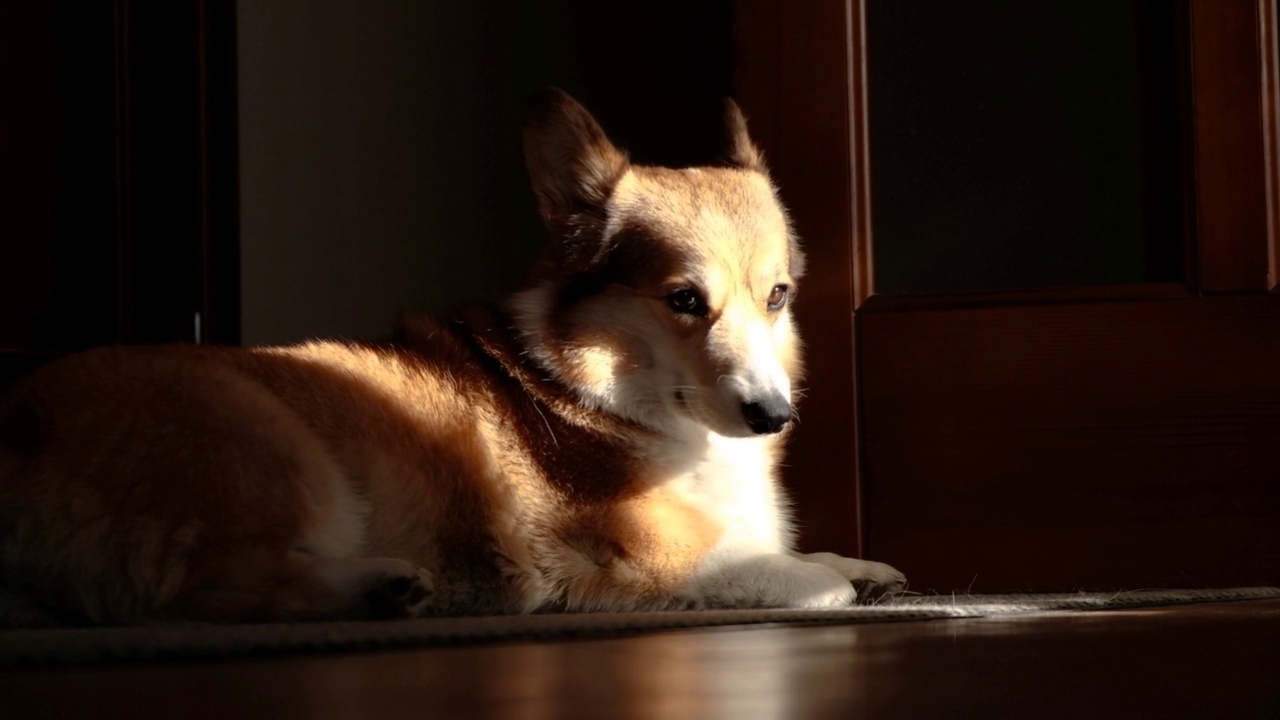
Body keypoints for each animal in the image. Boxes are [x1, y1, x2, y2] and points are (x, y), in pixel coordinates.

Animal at [0, 89, 906, 625]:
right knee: (216, 592)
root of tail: (19, 432)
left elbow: (814, 554)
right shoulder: (648, 553)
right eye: (684, 300)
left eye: (778, 296)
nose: (773, 417)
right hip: (272, 446)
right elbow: (794, 574)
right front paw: (837, 581)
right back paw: (377, 588)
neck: (602, 384)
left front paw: (868, 566)